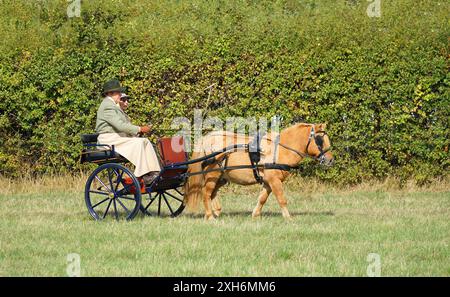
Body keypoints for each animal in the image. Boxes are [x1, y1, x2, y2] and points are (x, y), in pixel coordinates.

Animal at [184, 122, 334, 220]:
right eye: (320, 140)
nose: (330, 160)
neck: (279, 149)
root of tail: (207, 139)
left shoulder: (268, 182)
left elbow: (262, 198)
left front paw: (255, 215)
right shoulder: (274, 180)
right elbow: (281, 198)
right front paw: (288, 218)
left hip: (221, 177)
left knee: (213, 193)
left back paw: (216, 212)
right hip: (213, 174)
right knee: (206, 193)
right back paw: (210, 216)